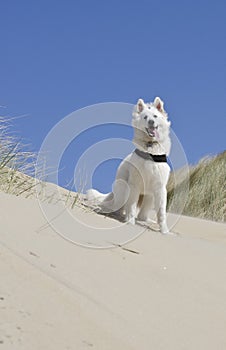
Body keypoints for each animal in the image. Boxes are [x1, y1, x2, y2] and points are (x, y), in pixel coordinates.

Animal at [87, 95, 171, 234]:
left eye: (155, 116)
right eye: (145, 117)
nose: (151, 122)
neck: (150, 148)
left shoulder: (160, 188)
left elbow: (161, 212)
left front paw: (164, 231)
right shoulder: (134, 185)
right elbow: (131, 207)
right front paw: (130, 223)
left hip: (150, 196)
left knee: (142, 216)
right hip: (123, 188)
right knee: (117, 207)